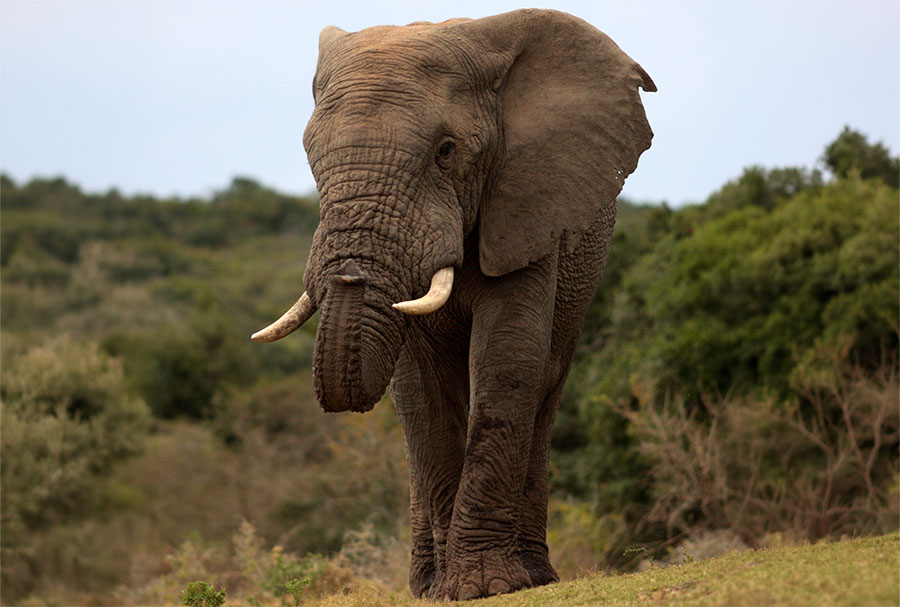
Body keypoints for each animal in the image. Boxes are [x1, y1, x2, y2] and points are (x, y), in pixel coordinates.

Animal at [252, 8, 654, 601]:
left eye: (445, 151)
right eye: (309, 157)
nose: (349, 273)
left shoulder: (526, 207)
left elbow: (509, 359)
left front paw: (486, 587)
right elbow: (421, 389)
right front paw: (450, 591)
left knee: (546, 385)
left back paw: (534, 575)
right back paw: (425, 584)